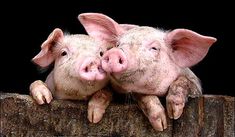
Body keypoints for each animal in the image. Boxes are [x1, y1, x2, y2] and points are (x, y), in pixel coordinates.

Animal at [78, 13, 216, 132]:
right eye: (117, 44)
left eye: (154, 48)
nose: (115, 52)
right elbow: (143, 96)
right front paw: (161, 126)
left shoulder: (195, 85)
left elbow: (183, 82)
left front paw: (174, 114)